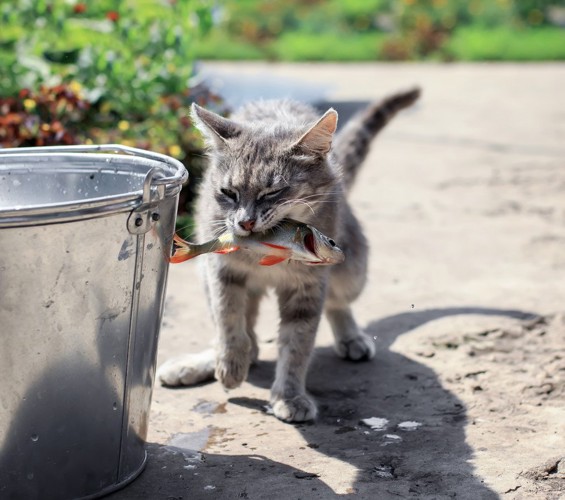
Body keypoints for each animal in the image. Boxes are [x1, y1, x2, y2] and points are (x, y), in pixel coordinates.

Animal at [156, 90, 420, 422]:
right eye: (228, 193)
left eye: (272, 192)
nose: (244, 223)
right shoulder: (222, 270)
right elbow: (228, 320)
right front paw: (230, 365)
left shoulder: (307, 285)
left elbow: (296, 345)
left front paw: (289, 396)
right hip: (205, 273)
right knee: (245, 338)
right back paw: (207, 362)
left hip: (353, 272)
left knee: (338, 303)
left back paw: (351, 337)